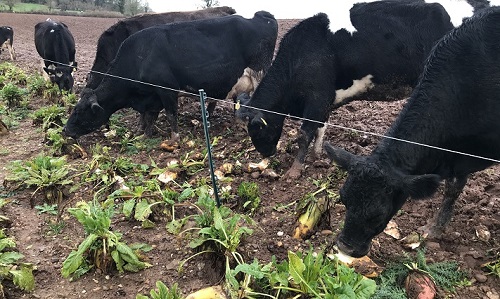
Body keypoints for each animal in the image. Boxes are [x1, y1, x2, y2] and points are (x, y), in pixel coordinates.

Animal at [236, 0, 456, 179]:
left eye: (257, 130)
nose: (266, 153)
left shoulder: (316, 98)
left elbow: (304, 134)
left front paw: (294, 171)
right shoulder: (324, 102)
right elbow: (320, 129)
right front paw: (317, 157)